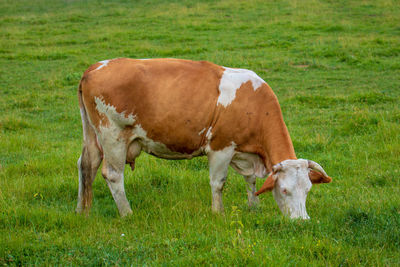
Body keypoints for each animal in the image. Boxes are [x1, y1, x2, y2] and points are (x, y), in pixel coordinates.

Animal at [75, 58, 332, 220]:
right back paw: (127, 214)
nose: (302, 221)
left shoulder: (243, 152)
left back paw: (82, 211)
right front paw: (218, 213)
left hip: (92, 135)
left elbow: (250, 180)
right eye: (285, 190)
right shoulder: (221, 147)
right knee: (113, 175)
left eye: (308, 190)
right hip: (113, 136)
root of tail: (94, 68)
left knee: (86, 165)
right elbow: (218, 183)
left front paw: (254, 206)